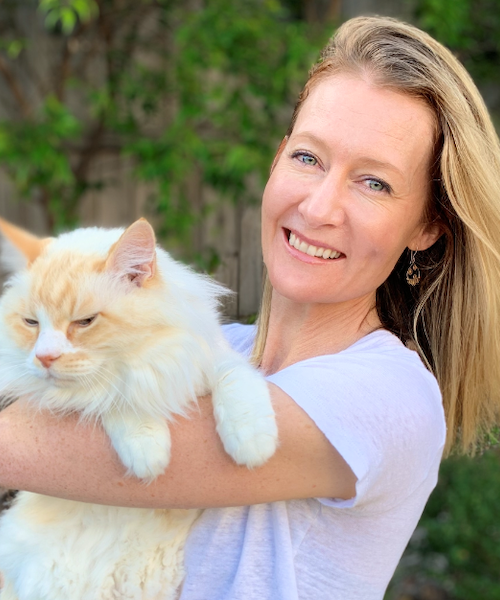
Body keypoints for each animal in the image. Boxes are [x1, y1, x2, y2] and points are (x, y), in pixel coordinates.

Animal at [0, 217, 278, 600]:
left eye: (84, 322)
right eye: (31, 323)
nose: (44, 358)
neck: (151, 356)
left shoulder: (208, 360)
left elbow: (237, 382)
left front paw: (252, 444)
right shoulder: (107, 388)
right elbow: (117, 398)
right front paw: (149, 457)